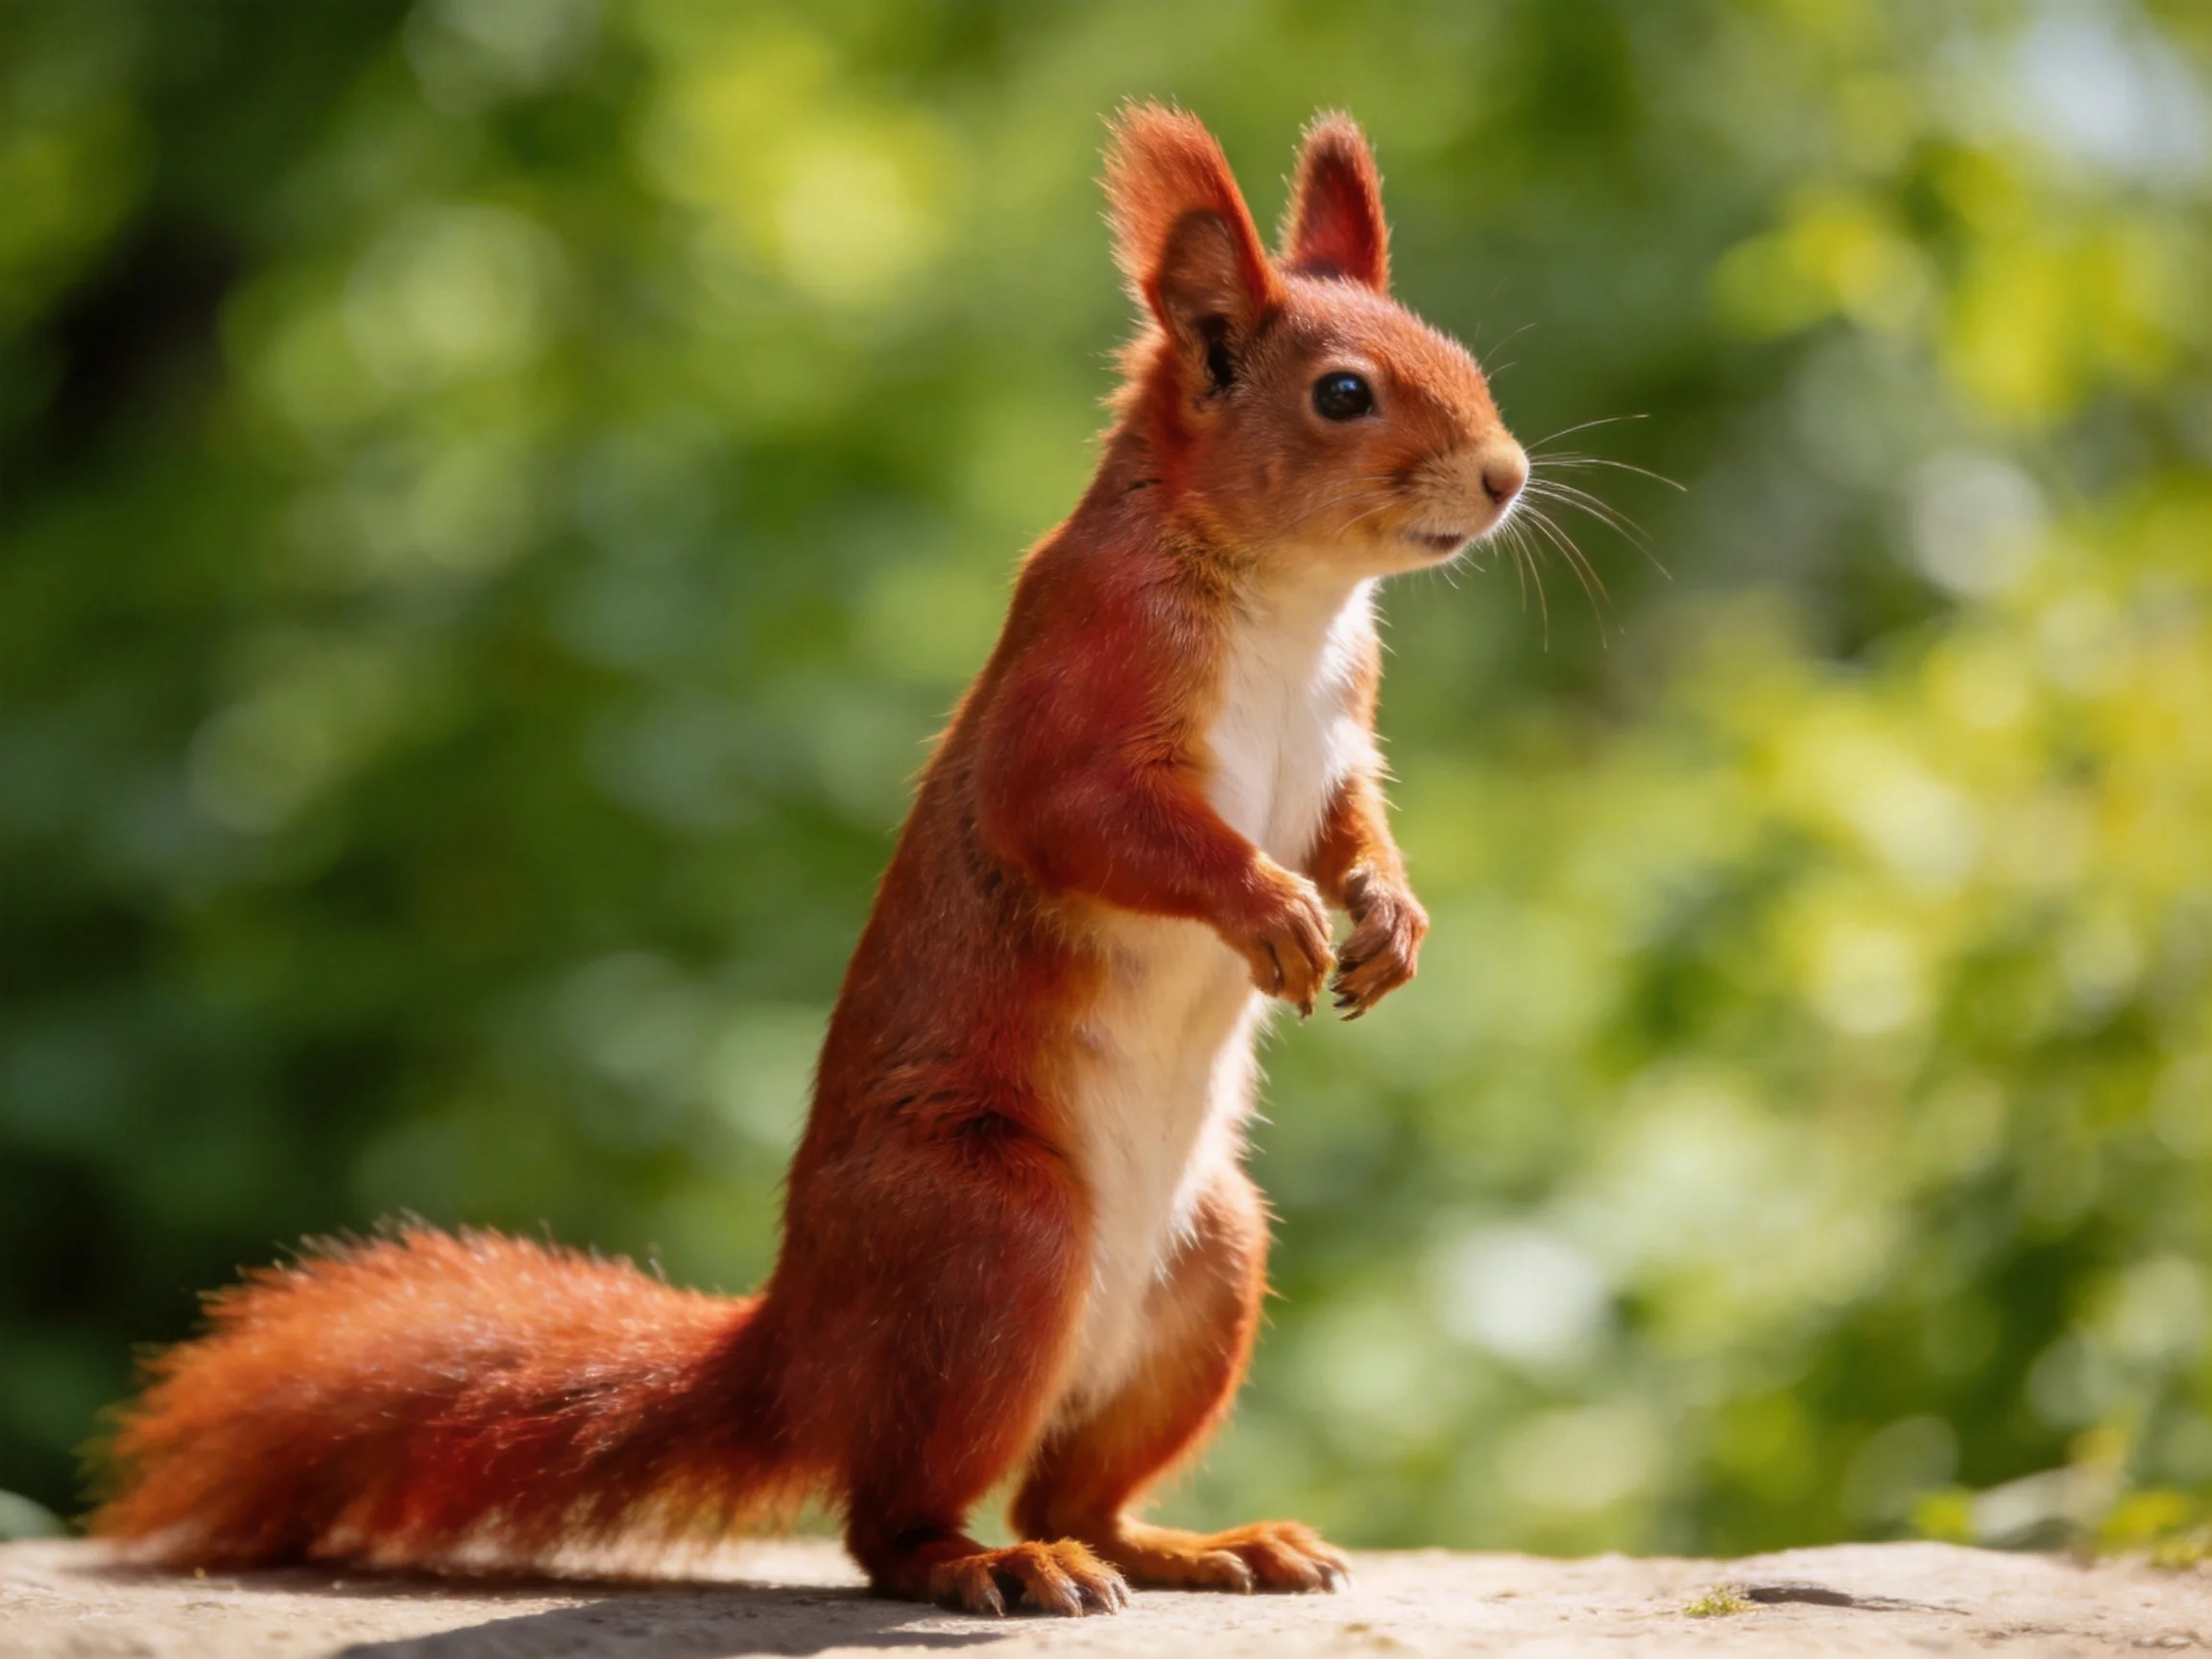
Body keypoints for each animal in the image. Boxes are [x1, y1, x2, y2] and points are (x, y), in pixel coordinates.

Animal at [92, 105, 1528, 1617]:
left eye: (1462, 356)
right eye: (1344, 396)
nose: (1507, 478)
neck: (1289, 599)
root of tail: (800, 1352)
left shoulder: (1338, 730)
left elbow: (1350, 824)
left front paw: (1388, 917)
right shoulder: (1079, 689)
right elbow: (1089, 821)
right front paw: (1272, 910)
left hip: (1210, 1269)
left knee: (1079, 1486)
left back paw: (1193, 1546)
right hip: (995, 1238)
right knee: (891, 1522)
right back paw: (994, 1566)